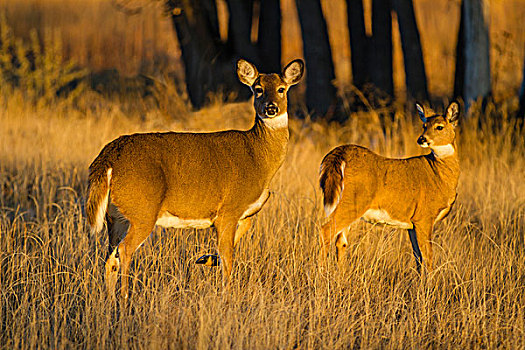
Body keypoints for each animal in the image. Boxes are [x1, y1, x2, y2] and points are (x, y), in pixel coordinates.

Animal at [88, 58, 304, 298]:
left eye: (281, 89)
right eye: (258, 89)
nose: (271, 108)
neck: (258, 157)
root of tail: (107, 158)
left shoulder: (243, 214)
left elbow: (236, 240)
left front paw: (207, 259)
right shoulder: (229, 209)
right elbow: (229, 259)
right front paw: (226, 296)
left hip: (115, 216)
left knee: (110, 258)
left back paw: (109, 301)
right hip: (143, 210)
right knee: (124, 251)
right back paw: (125, 298)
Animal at [316, 101, 458, 270]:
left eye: (439, 127)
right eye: (424, 125)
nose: (421, 139)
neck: (440, 175)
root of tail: (339, 154)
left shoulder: (412, 223)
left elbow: (418, 257)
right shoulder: (424, 216)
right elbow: (428, 257)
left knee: (341, 241)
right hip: (353, 201)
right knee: (325, 231)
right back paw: (321, 273)